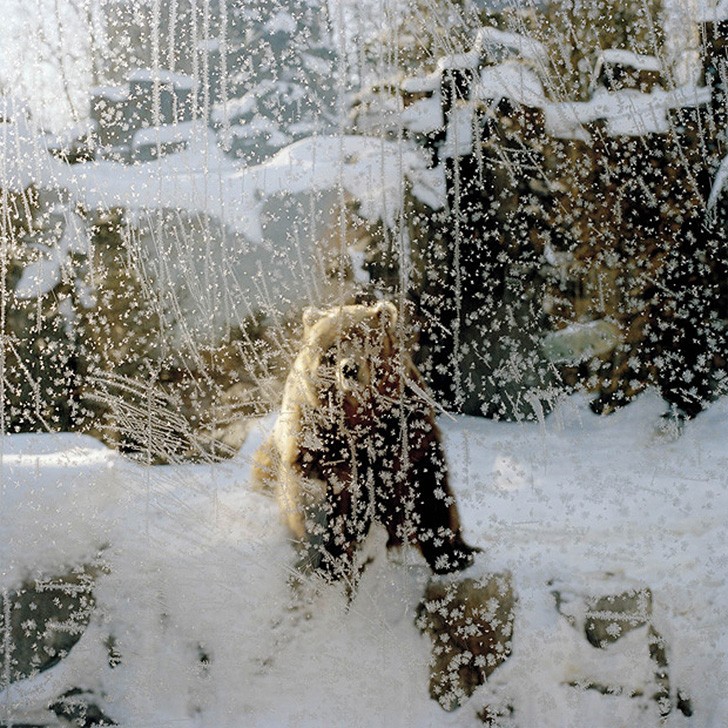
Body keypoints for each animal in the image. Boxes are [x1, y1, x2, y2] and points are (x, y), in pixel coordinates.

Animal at [256, 302, 478, 584]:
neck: (358, 416)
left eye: (365, 340)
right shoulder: (314, 437)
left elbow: (425, 487)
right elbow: (318, 498)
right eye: (333, 347)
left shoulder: (404, 427)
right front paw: (331, 562)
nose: (350, 369)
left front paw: (452, 557)